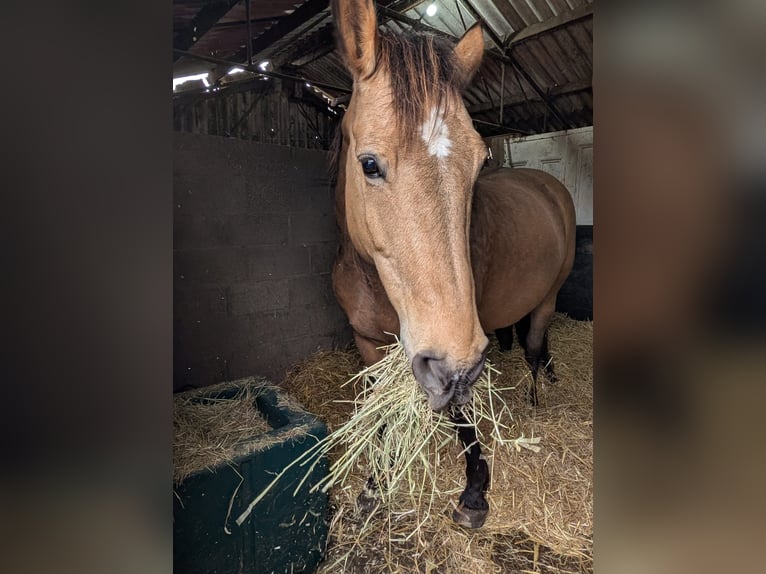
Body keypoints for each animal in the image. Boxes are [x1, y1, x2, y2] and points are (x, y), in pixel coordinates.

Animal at [329, 0, 576, 529]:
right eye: (369, 164)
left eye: (480, 162)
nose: (452, 360)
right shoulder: (368, 345)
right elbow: (380, 417)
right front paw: (373, 486)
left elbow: (462, 418)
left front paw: (475, 491)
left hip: (548, 297)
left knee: (533, 343)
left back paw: (537, 394)